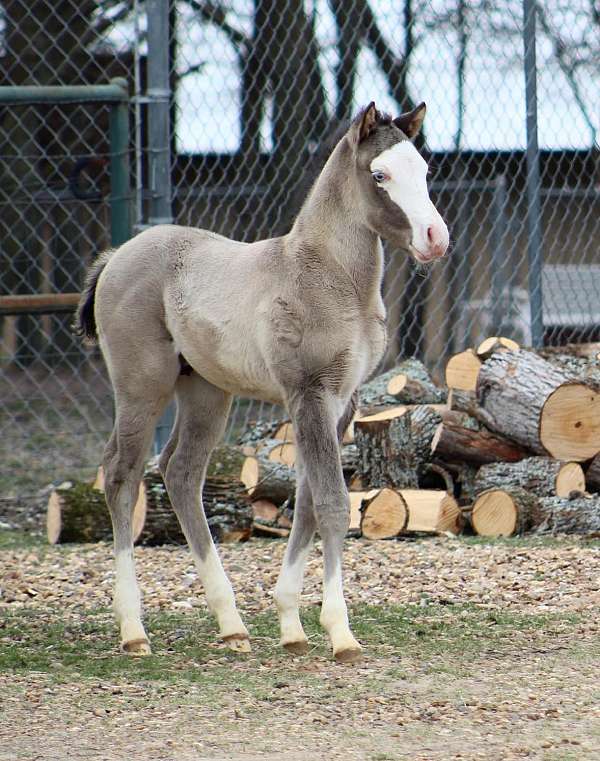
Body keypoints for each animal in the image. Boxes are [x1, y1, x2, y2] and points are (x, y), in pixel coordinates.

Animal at [76, 104, 446, 664]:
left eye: (423, 170)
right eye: (379, 175)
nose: (434, 238)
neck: (332, 279)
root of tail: (117, 255)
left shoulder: (342, 402)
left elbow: (309, 501)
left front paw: (292, 626)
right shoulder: (308, 393)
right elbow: (333, 504)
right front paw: (340, 633)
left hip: (207, 392)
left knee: (181, 472)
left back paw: (232, 624)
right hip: (142, 386)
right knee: (122, 473)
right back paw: (133, 629)